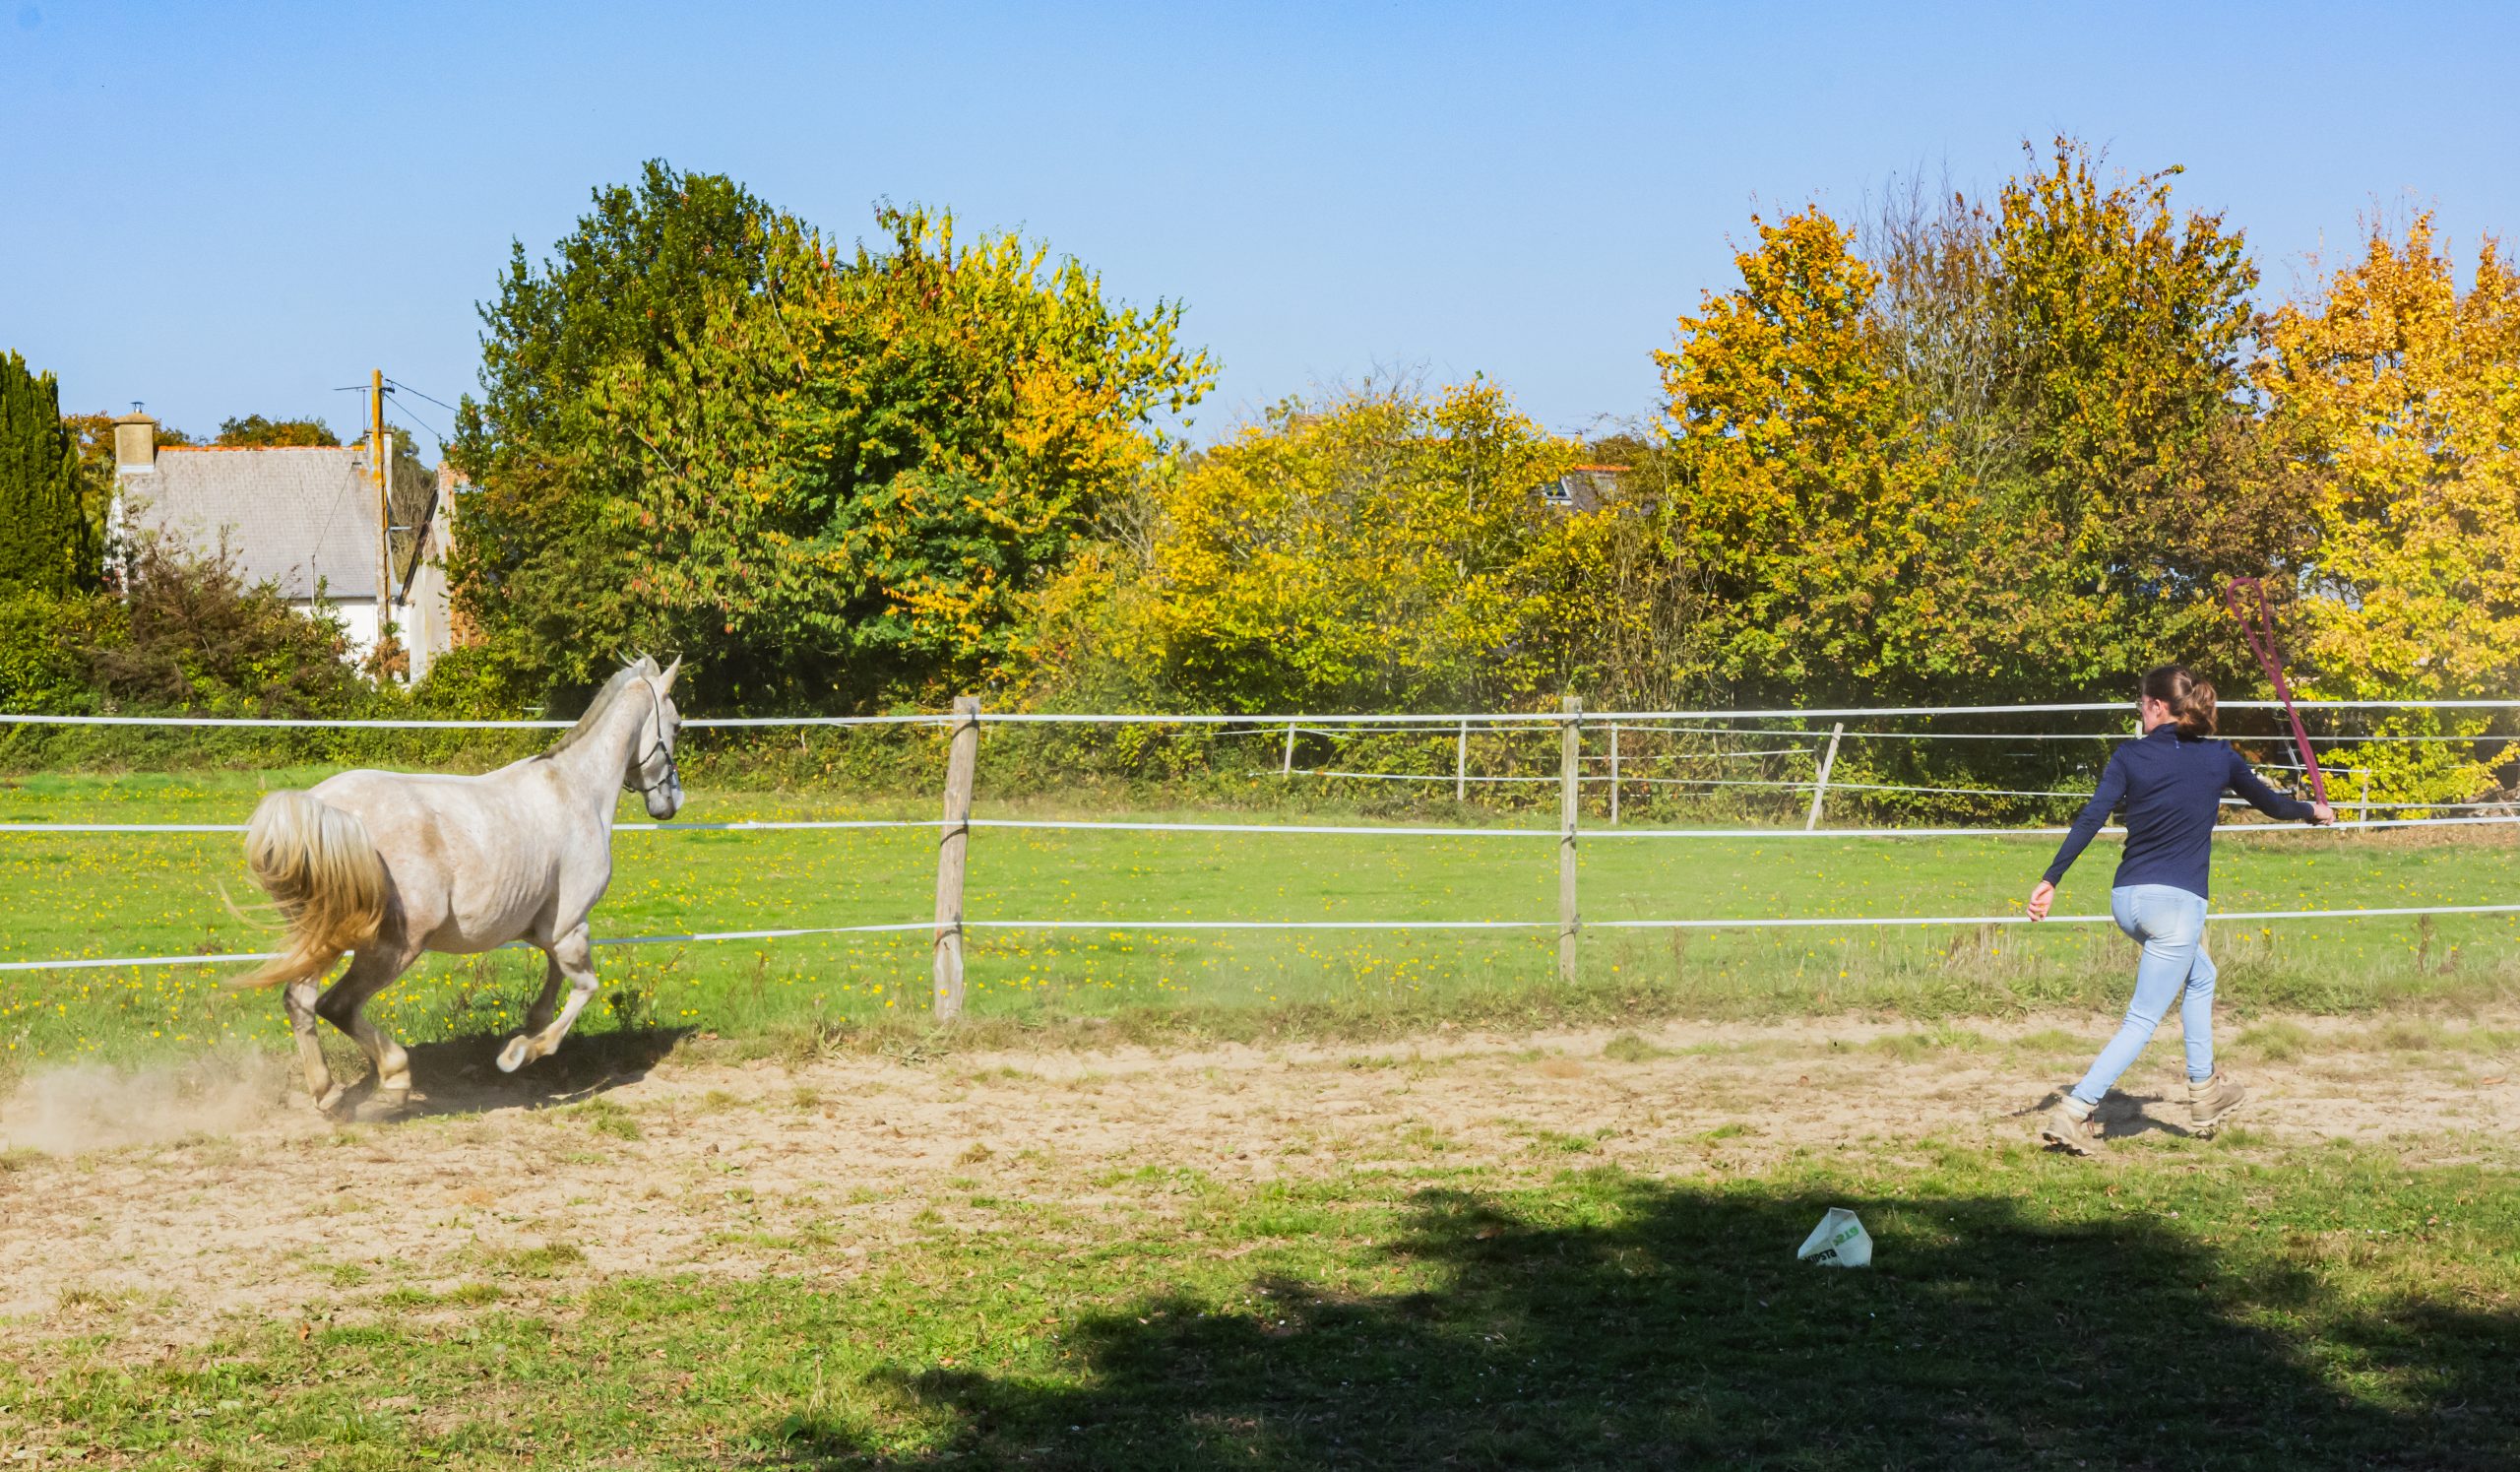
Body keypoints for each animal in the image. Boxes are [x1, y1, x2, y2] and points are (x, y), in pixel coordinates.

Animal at [233, 655, 684, 1116]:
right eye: (678, 725)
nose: (668, 804)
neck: (577, 789)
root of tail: (319, 809)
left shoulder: (548, 931)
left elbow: (549, 997)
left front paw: (522, 1040)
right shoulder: (570, 927)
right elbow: (584, 990)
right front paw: (518, 1055)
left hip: (322, 937)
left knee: (299, 1001)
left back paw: (329, 1093)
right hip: (394, 944)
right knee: (336, 1005)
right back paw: (394, 1082)